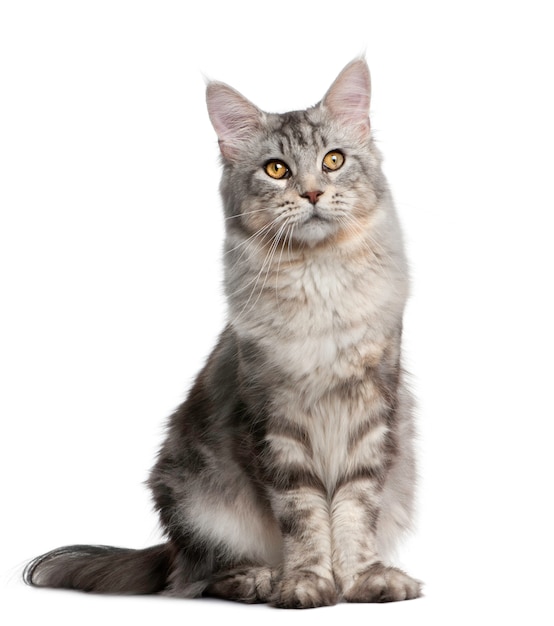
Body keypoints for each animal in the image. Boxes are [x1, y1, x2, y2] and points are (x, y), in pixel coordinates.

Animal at [22, 57, 418, 604]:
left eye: (333, 160)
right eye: (277, 169)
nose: (313, 192)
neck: (319, 279)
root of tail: (172, 550)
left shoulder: (373, 411)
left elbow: (356, 511)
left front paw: (362, 579)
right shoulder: (274, 420)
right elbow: (303, 515)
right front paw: (306, 581)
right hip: (195, 498)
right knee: (200, 575)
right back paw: (261, 578)